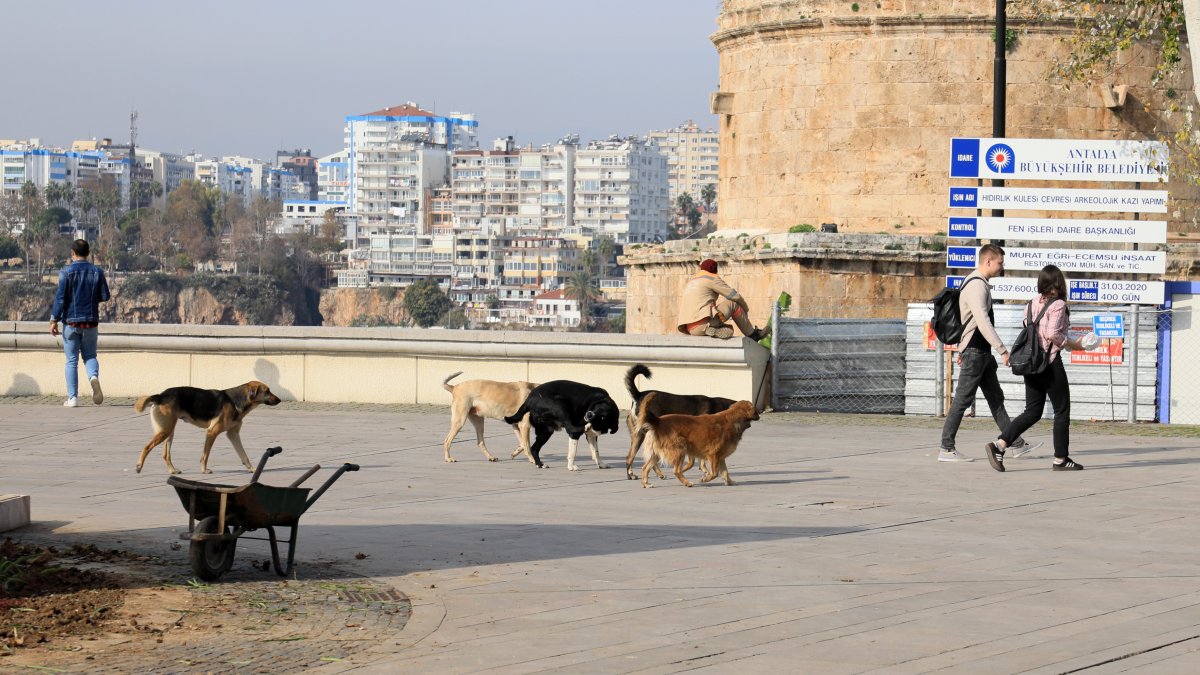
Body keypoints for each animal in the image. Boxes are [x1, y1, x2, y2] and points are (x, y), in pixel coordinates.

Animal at [133, 379, 280, 473]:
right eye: (267, 391)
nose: (279, 400)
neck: (235, 401)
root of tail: (160, 396)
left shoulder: (233, 434)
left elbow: (243, 454)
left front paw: (253, 469)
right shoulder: (211, 433)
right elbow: (205, 455)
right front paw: (204, 470)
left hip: (169, 432)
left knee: (165, 455)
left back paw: (172, 470)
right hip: (165, 431)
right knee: (147, 447)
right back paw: (139, 466)